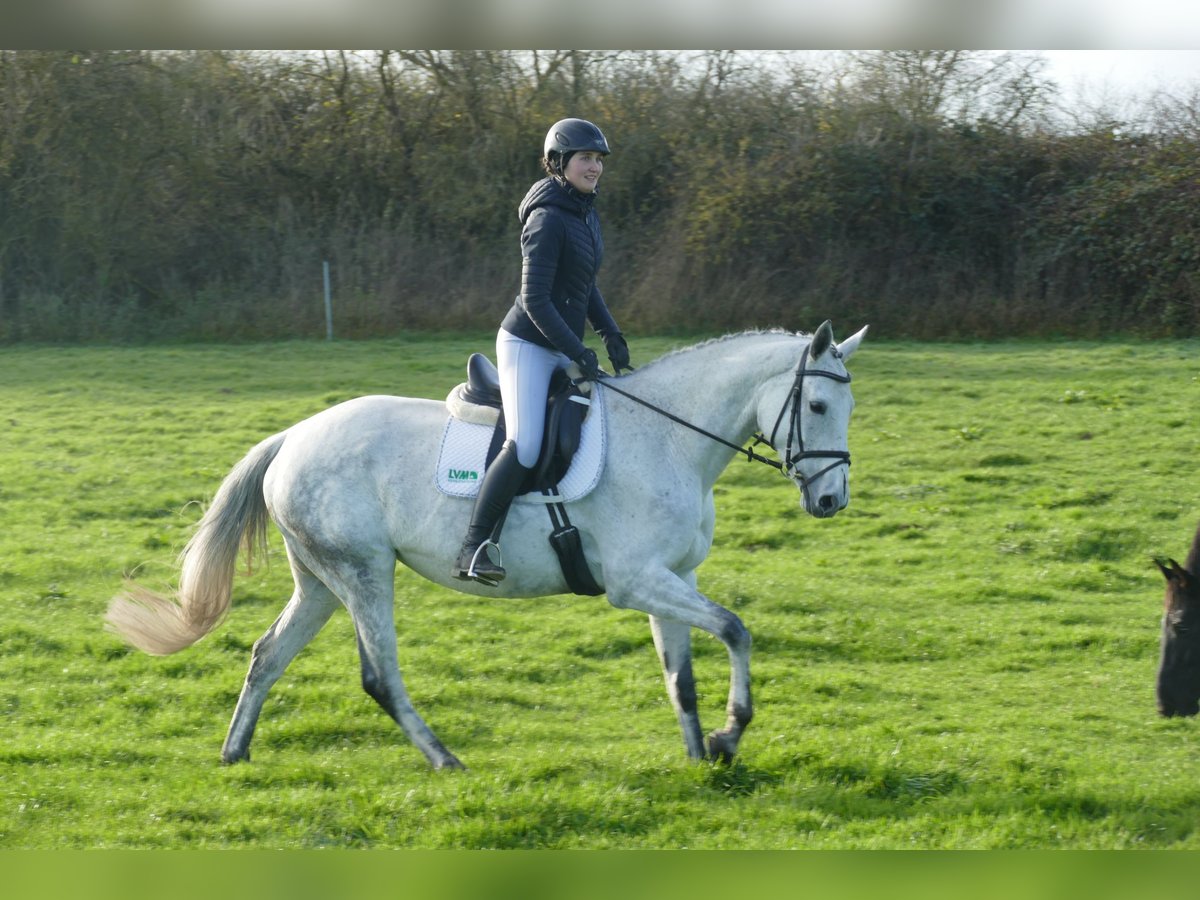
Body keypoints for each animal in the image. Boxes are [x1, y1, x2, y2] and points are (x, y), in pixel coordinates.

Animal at [108, 321, 868, 772]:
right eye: (818, 407)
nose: (831, 502)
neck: (669, 436)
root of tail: (293, 435)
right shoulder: (636, 581)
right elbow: (736, 630)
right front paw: (730, 734)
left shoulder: (670, 577)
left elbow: (680, 674)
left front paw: (698, 755)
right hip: (364, 572)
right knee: (379, 675)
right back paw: (444, 760)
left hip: (321, 581)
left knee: (268, 655)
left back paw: (235, 753)